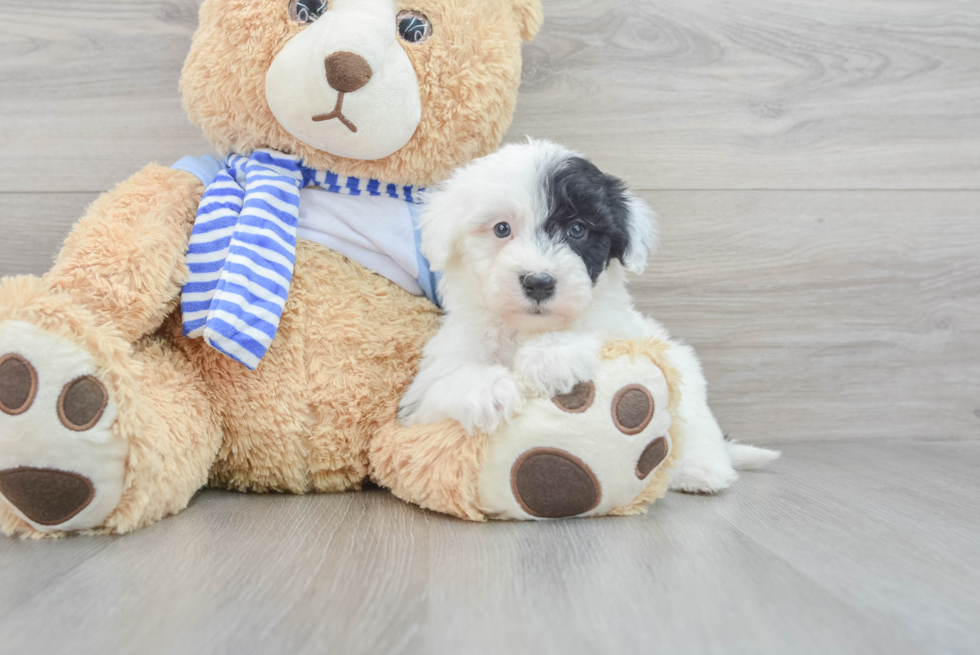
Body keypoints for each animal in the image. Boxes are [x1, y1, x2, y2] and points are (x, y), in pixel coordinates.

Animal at [398, 141, 780, 494]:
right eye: (501, 229)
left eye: (578, 230)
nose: (539, 282)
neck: (527, 328)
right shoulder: (422, 396)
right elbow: (445, 381)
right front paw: (488, 389)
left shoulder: (620, 328)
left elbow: (592, 330)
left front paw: (550, 357)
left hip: (683, 372)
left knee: (697, 424)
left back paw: (701, 470)